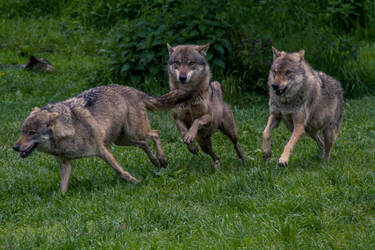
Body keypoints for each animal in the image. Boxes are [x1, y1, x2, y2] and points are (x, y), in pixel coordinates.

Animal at [13, 85, 192, 194]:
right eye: (22, 131)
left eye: (31, 132)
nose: (15, 147)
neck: (69, 130)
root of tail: (133, 90)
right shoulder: (65, 163)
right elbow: (62, 186)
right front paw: (59, 199)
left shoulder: (102, 151)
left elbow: (120, 171)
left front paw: (135, 182)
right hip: (124, 140)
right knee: (144, 143)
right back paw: (156, 161)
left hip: (134, 133)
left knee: (155, 133)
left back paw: (162, 159)